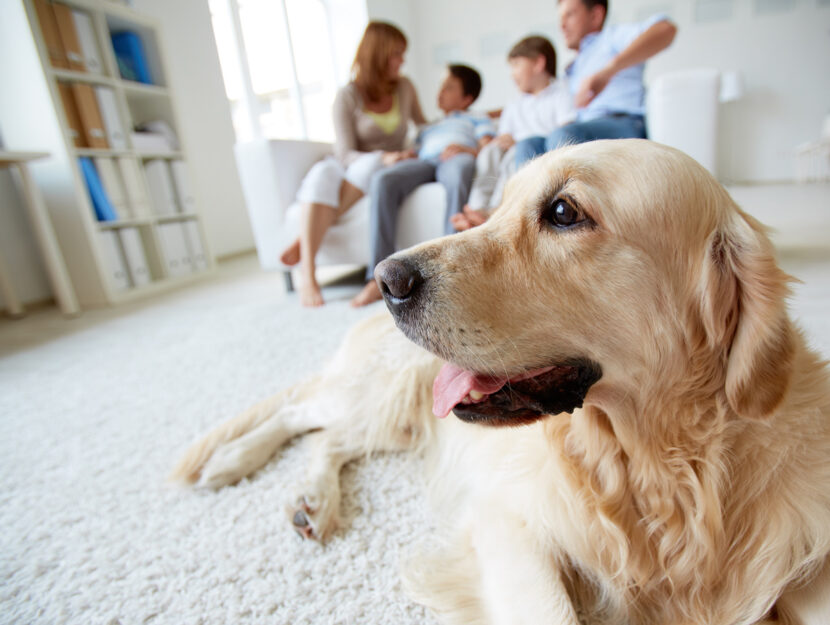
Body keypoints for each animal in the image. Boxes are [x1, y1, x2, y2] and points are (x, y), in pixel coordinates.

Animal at [171, 141, 830, 624]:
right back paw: (234, 463)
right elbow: (552, 609)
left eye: (563, 212)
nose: (385, 279)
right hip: (386, 393)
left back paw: (310, 500)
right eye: (499, 206)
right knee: (303, 414)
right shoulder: (509, 522)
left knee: (328, 437)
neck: (657, 470)